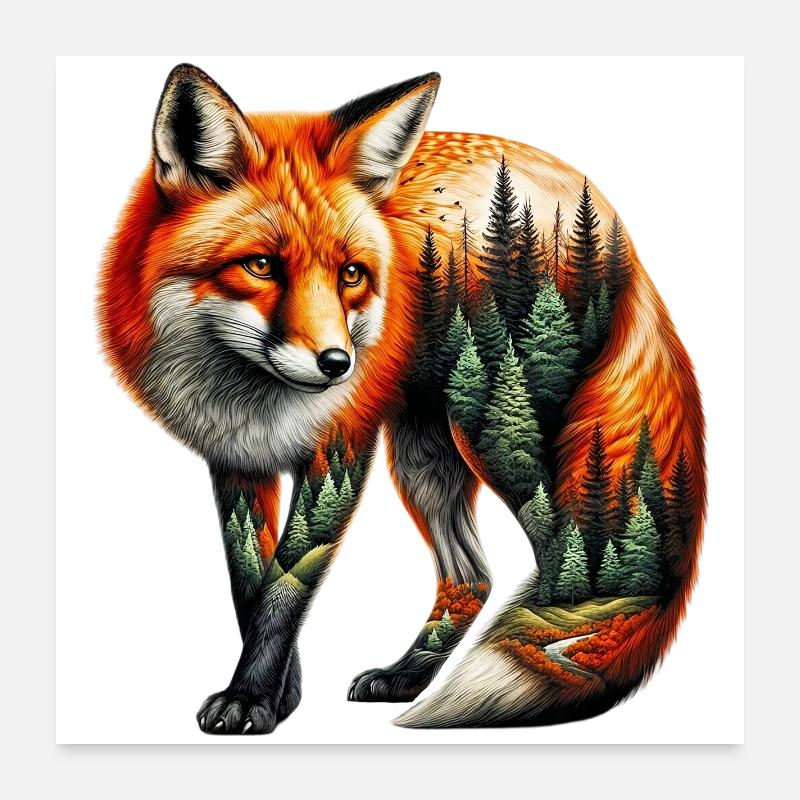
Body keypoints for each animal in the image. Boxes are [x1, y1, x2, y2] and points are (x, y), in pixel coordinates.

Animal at [98, 63, 705, 734]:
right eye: (260, 266)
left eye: (351, 275)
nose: (338, 365)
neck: (251, 399)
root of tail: (591, 198)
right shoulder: (236, 462)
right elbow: (250, 587)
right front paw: (282, 694)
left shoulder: (339, 452)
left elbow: (285, 591)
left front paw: (251, 697)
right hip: (424, 460)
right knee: (473, 577)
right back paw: (410, 676)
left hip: (507, 440)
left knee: (563, 560)